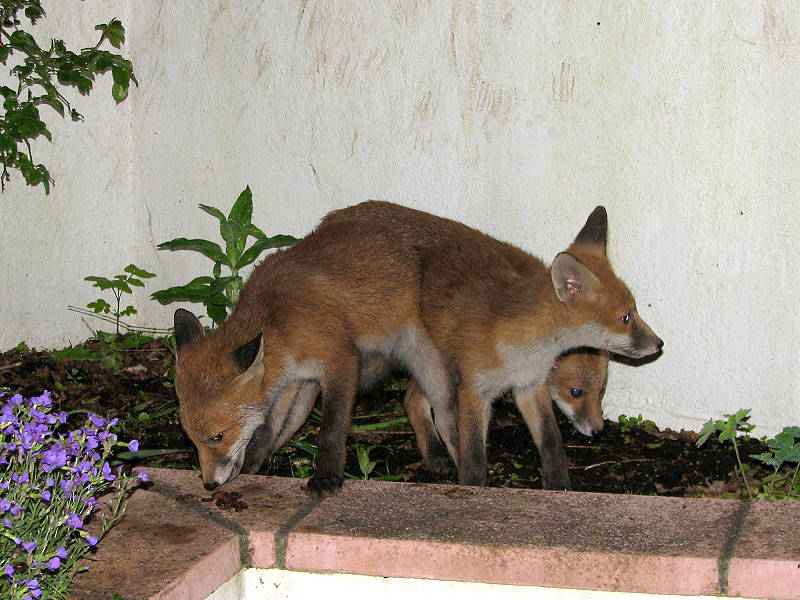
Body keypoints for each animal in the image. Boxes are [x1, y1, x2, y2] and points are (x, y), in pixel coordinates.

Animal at [414, 205, 663, 485]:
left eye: (601, 391)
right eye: (625, 318)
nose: (659, 344)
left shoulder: (532, 384)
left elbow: (551, 440)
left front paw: (558, 485)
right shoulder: (474, 389)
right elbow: (474, 458)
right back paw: (435, 453)